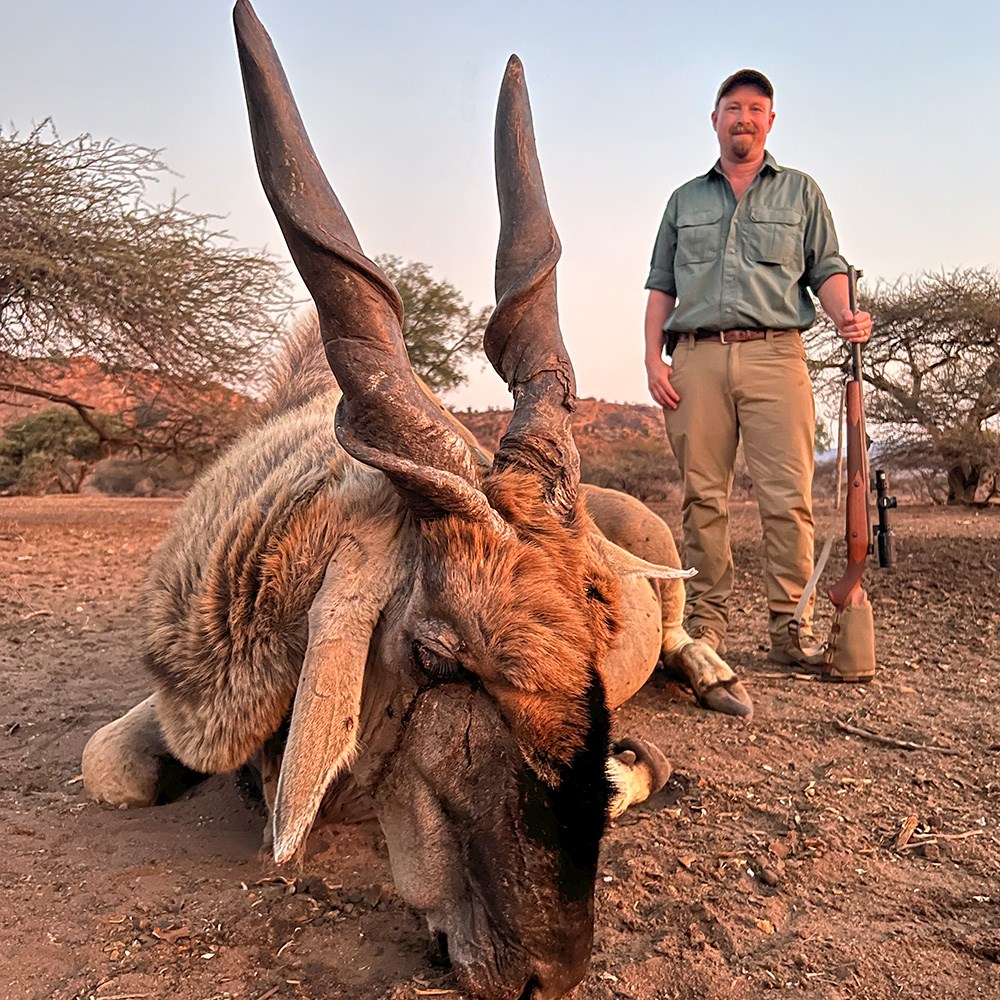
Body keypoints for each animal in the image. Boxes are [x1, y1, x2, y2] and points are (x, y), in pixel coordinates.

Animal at [82, 3, 752, 996]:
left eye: (597, 626)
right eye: (435, 657)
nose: (546, 971)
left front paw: (629, 769)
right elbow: (109, 766)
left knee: (682, 634)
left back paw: (718, 680)